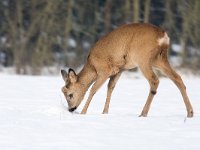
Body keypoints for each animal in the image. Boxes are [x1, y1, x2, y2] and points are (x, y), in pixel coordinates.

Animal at [60, 23, 194, 117]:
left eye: (70, 94)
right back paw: (190, 113)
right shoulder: (119, 70)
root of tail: (163, 36)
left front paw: (83, 112)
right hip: (159, 59)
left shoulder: (104, 70)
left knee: (154, 80)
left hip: (143, 58)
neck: (92, 66)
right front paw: (105, 112)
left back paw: (143, 113)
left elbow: (93, 89)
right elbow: (110, 88)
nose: (71, 109)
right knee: (178, 78)